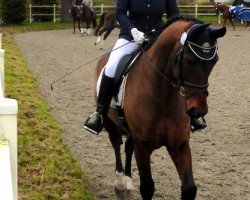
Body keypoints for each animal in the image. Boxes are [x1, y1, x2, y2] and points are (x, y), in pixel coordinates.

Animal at [92, 15, 227, 200]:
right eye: (189, 60)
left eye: (214, 61)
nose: (198, 110)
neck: (163, 96)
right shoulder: (143, 145)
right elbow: (147, 187)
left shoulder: (179, 145)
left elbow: (189, 188)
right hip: (110, 122)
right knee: (116, 143)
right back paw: (120, 183)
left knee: (127, 147)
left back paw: (128, 181)